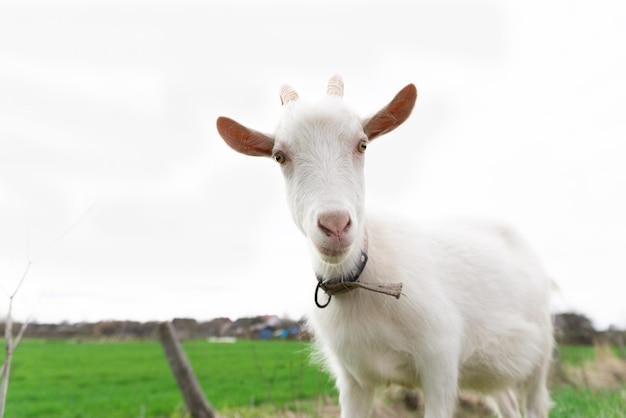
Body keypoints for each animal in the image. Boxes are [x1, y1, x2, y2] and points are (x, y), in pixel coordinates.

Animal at [216, 76, 552, 418]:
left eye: (362, 144)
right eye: (279, 156)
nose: (335, 225)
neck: (360, 277)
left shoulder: (440, 363)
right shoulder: (352, 379)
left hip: (540, 353)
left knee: (535, 402)